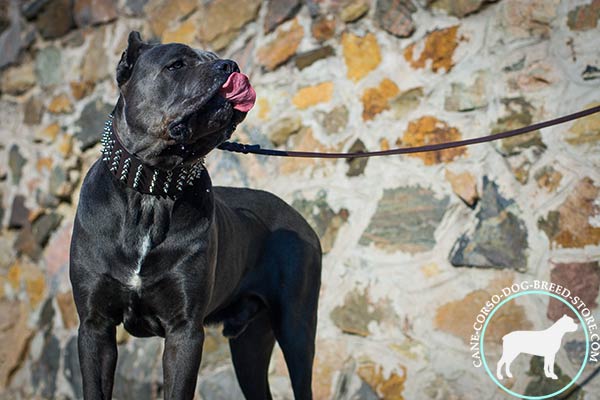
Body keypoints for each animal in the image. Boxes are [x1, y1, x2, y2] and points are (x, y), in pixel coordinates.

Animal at [69, 32, 322, 400]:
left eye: (216, 58)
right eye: (176, 65)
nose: (230, 65)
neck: (152, 186)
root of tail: (301, 220)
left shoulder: (184, 331)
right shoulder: (94, 326)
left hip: (296, 329)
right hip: (250, 344)